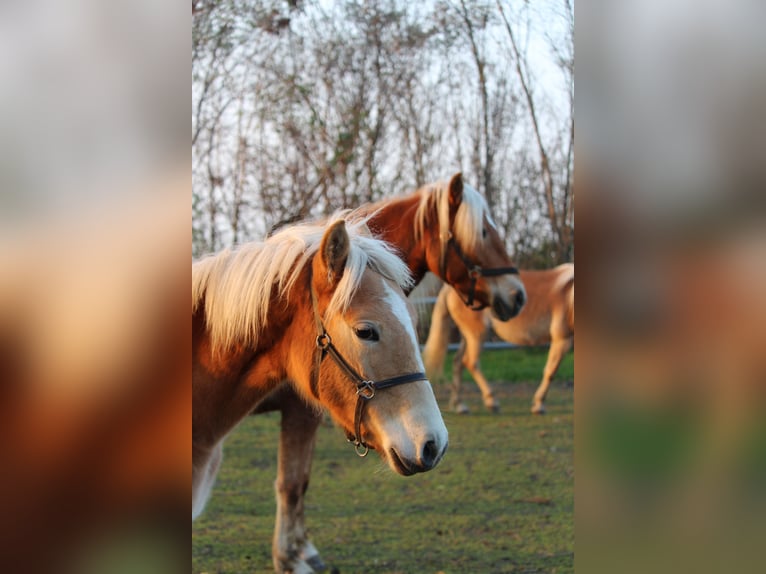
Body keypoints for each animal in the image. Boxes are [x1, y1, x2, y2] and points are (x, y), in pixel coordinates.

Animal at [252, 172, 528, 574]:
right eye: (483, 232)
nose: (518, 295)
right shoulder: (299, 411)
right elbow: (290, 484)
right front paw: (289, 557)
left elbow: (301, 481)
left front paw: (304, 549)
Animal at [426, 264, 576, 416]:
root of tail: (449, 288)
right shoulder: (562, 339)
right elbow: (551, 371)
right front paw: (539, 405)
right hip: (477, 335)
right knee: (470, 362)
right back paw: (492, 402)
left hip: (467, 336)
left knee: (458, 363)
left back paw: (460, 405)